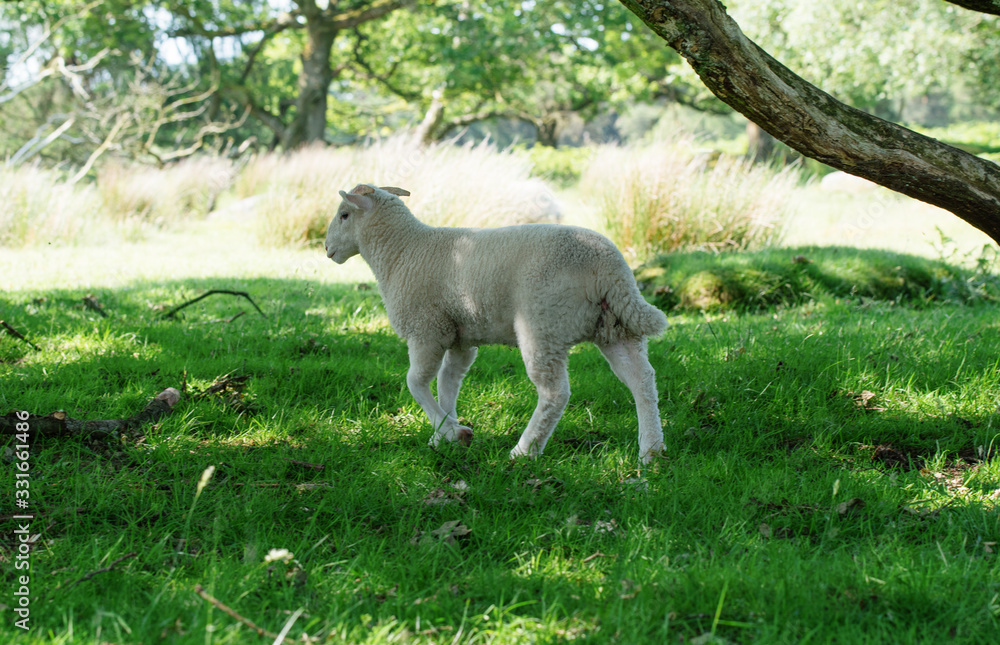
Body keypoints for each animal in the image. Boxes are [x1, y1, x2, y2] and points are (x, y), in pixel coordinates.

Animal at [325, 184, 668, 463]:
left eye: (344, 215)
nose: (327, 249)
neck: (402, 252)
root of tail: (609, 266)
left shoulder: (427, 330)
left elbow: (416, 383)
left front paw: (453, 432)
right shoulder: (460, 336)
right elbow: (448, 383)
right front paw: (442, 434)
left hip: (543, 324)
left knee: (555, 393)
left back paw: (524, 451)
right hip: (615, 326)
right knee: (642, 381)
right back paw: (651, 450)